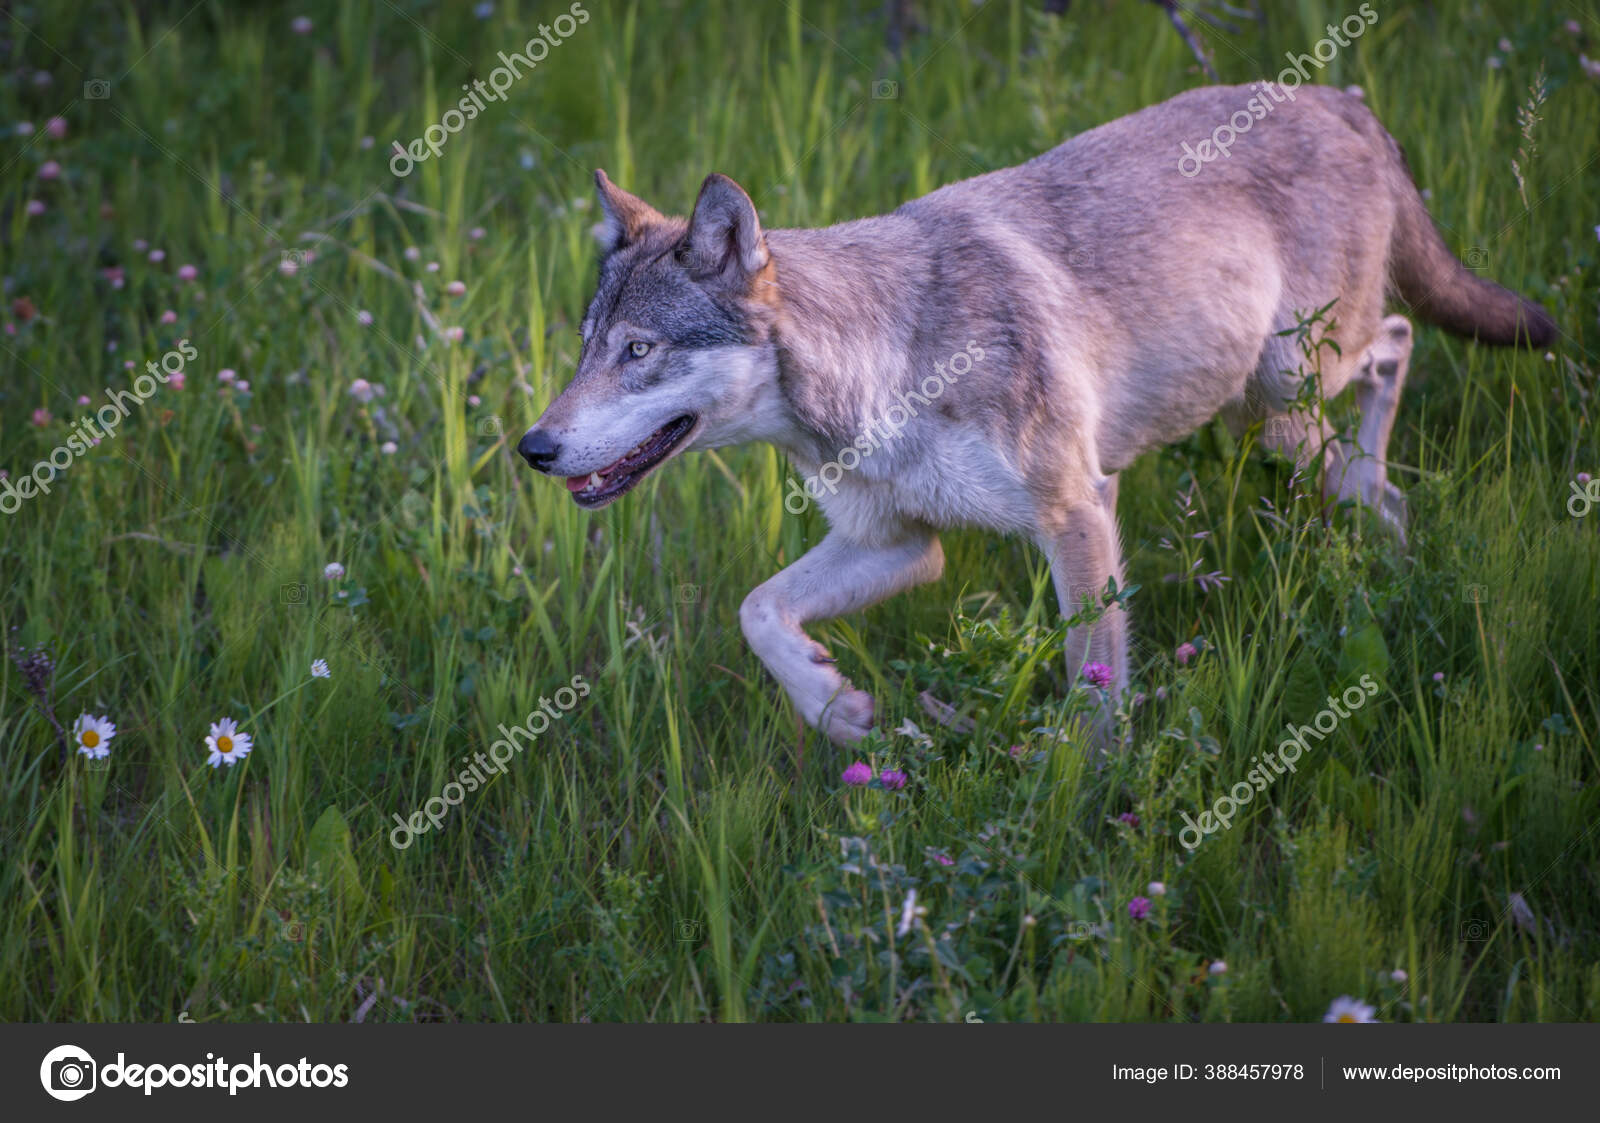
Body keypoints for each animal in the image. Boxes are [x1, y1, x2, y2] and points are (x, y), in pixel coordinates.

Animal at [518, 81, 1555, 748]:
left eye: (638, 353)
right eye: (587, 347)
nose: (533, 447)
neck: (889, 365)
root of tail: (1338, 94)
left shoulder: (1076, 513)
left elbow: (1095, 699)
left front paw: (1092, 815)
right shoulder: (902, 546)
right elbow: (758, 611)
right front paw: (837, 708)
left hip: (1287, 399)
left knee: (1397, 359)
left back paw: (1384, 532)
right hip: (1274, 409)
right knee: (1390, 379)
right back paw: (1383, 532)